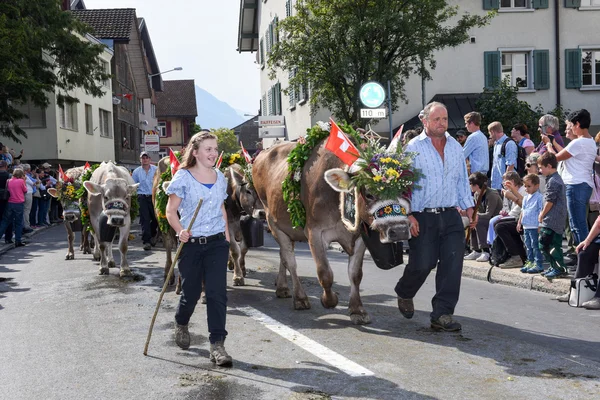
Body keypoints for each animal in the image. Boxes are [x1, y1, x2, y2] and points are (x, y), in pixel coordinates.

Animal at [252, 120, 418, 324]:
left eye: (405, 190)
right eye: (369, 193)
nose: (400, 231)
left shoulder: (359, 236)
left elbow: (355, 275)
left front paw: (357, 310)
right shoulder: (314, 232)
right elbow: (325, 273)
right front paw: (329, 301)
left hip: (287, 228)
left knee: (283, 256)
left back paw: (282, 287)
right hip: (273, 222)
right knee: (290, 260)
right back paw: (300, 298)